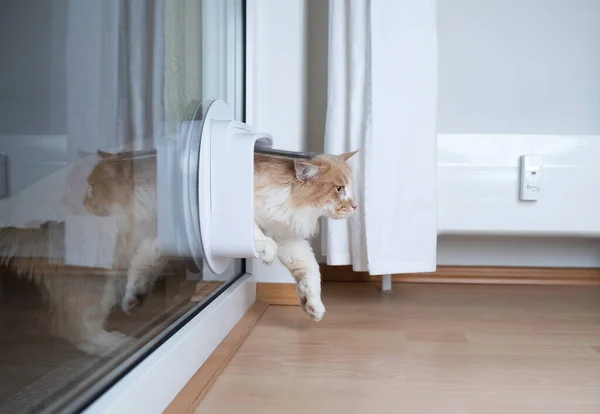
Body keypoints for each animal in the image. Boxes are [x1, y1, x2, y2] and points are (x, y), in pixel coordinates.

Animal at [252, 150, 356, 322]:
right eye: (339, 188)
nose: (356, 206)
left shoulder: (285, 233)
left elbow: (311, 268)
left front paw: (313, 306)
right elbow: (255, 231)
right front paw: (268, 252)